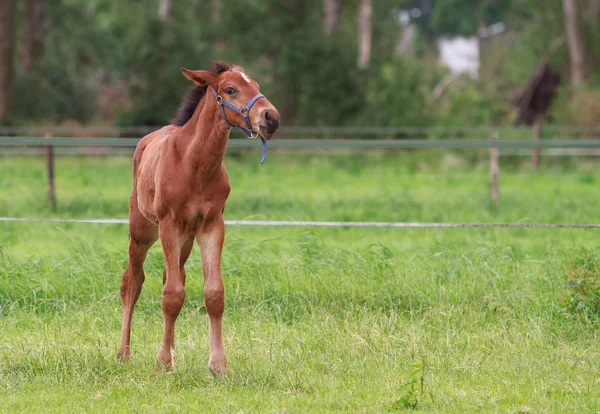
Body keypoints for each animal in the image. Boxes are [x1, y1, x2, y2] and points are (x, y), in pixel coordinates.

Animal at [117, 62, 282, 376]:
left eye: (256, 84)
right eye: (230, 89)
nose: (271, 117)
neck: (195, 165)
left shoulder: (212, 226)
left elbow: (213, 293)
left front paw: (217, 365)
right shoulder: (170, 225)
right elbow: (171, 295)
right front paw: (162, 363)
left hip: (186, 239)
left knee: (173, 275)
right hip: (143, 231)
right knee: (132, 282)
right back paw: (123, 353)